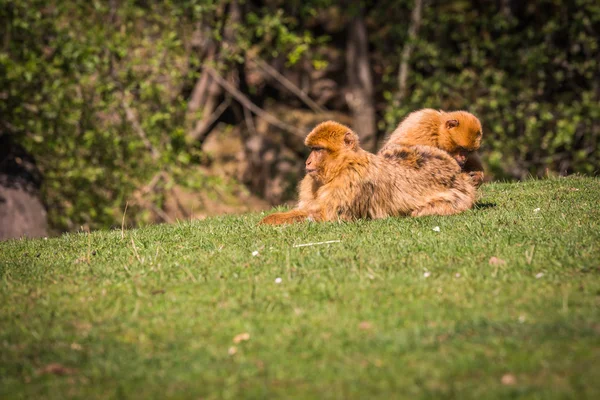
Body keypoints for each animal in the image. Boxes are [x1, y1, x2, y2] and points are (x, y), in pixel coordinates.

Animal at [260, 119, 476, 225]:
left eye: (318, 149)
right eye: (312, 149)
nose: (308, 161)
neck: (341, 166)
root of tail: (458, 173)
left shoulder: (351, 180)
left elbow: (328, 216)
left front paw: (270, 221)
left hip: (459, 197)